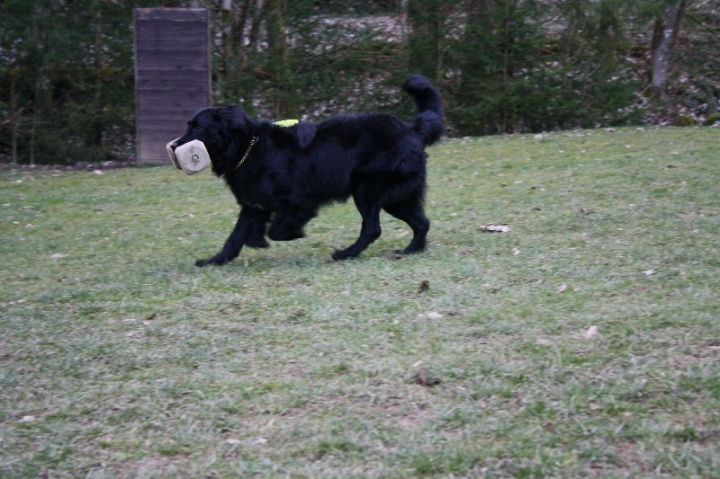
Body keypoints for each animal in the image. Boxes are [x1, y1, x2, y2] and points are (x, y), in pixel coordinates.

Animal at [173, 74, 444, 266]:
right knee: (422, 223)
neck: (248, 147)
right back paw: (411, 250)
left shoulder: (300, 201)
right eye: (189, 125)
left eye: (198, 127)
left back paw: (345, 254)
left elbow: (276, 230)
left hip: (367, 191)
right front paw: (215, 260)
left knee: (373, 228)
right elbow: (236, 238)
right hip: (398, 198)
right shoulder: (253, 205)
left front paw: (293, 234)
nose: (174, 146)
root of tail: (411, 129)